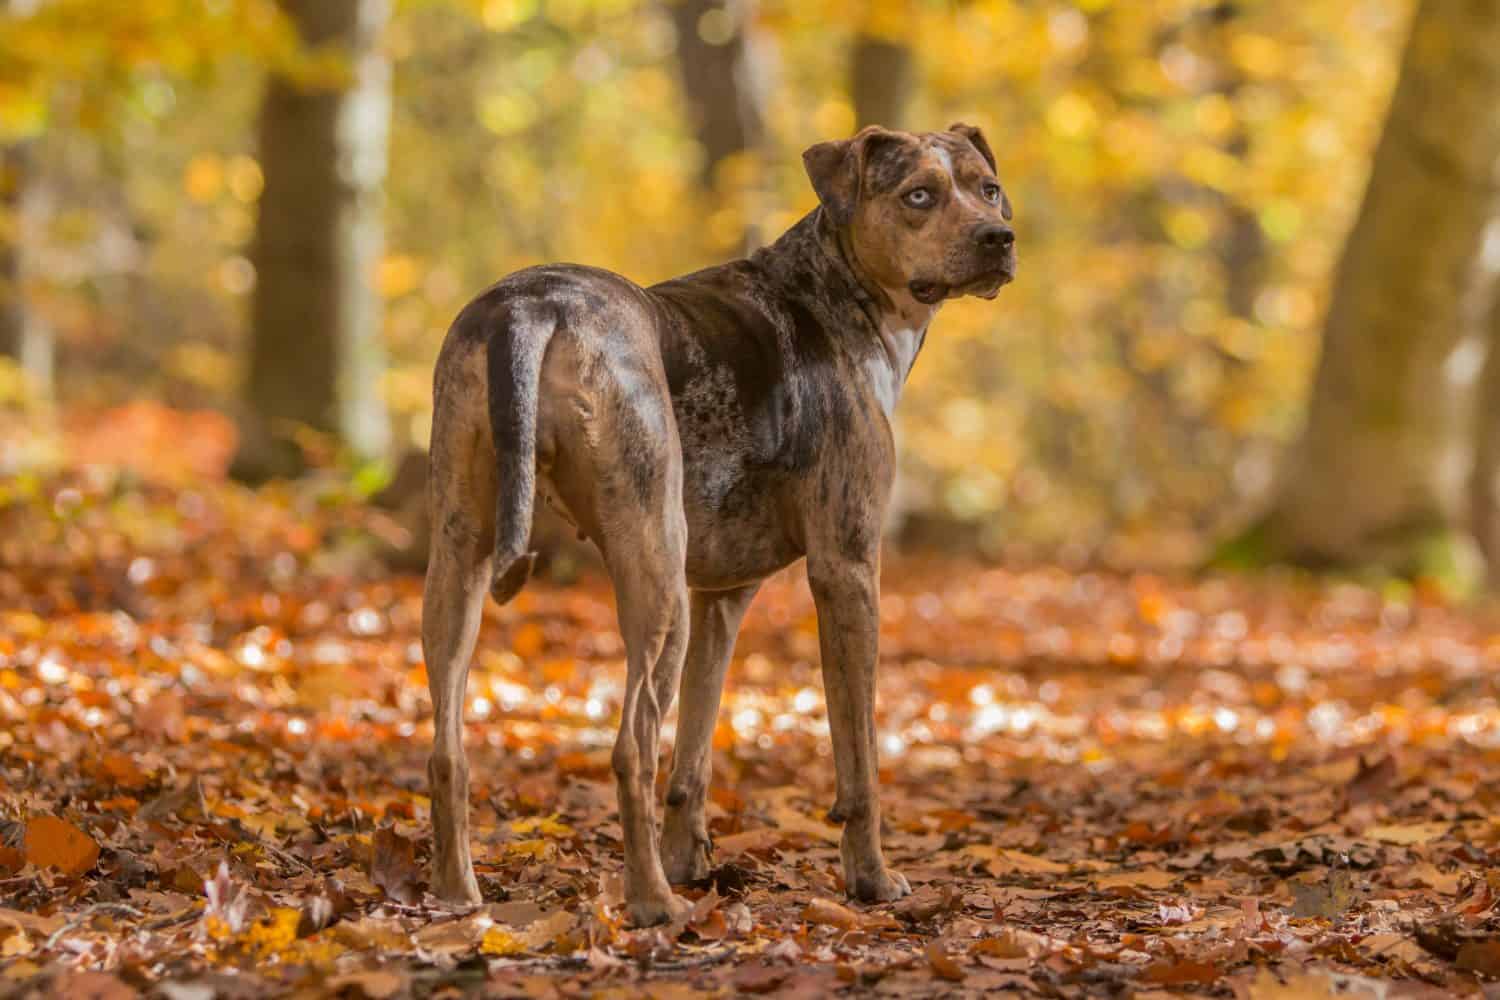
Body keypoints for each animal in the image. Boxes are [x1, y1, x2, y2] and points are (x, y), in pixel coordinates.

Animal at [423, 125, 1020, 929]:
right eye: (918, 195)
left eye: (988, 188)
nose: (999, 238)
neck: (840, 292)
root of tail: (534, 305)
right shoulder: (848, 569)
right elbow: (858, 756)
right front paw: (870, 878)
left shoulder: (721, 597)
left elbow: (695, 754)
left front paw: (693, 859)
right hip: (654, 570)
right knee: (632, 745)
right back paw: (653, 902)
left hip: (461, 558)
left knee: (448, 750)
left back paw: (461, 896)